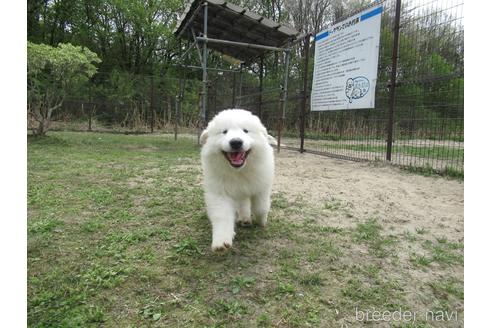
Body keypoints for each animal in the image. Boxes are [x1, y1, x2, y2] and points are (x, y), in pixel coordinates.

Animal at [200, 109, 276, 250]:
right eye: (224, 131)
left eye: (245, 131)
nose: (236, 142)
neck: (239, 172)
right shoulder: (220, 192)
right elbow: (222, 215)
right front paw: (221, 242)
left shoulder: (262, 187)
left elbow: (261, 207)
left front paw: (262, 221)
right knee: (243, 203)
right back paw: (244, 218)